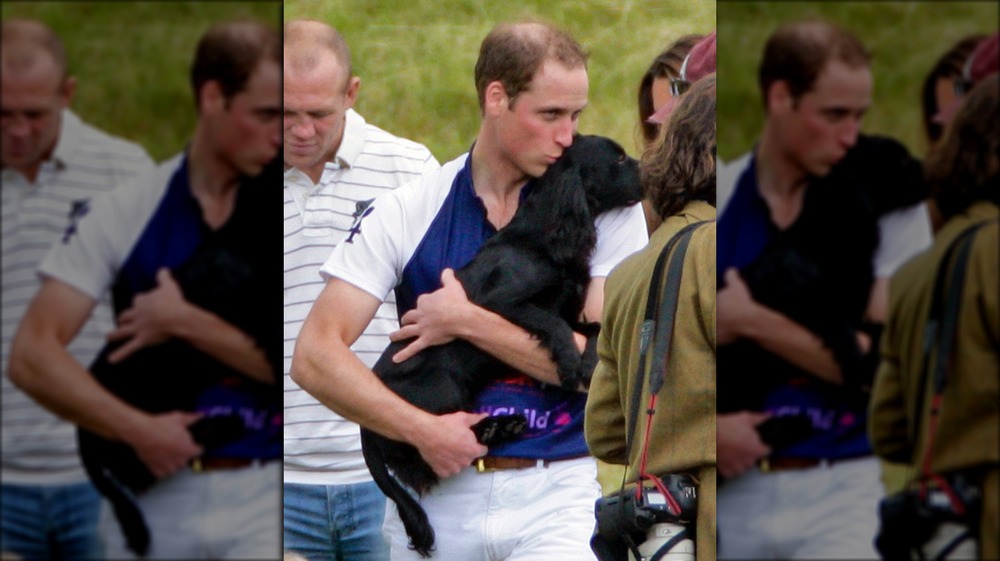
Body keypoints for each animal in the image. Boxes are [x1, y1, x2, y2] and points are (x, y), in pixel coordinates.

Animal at [364, 135, 644, 556]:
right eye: (621, 158)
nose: (651, 172)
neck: (543, 238)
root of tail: (363, 426)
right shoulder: (500, 304)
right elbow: (552, 323)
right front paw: (568, 361)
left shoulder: (573, 310)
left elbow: (594, 328)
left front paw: (586, 362)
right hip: (443, 387)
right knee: (430, 450)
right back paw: (496, 427)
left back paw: (504, 425)